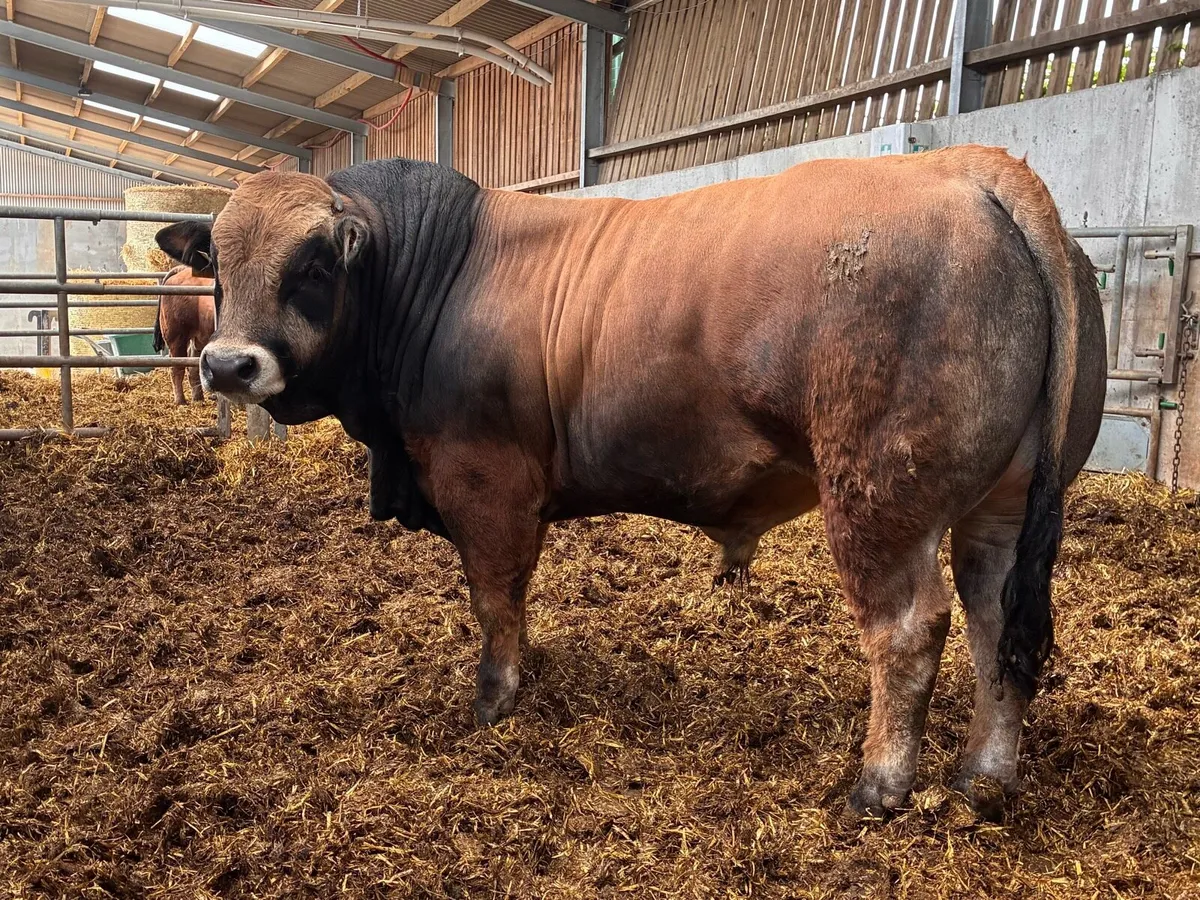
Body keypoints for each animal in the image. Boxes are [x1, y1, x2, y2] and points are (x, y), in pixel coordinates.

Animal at [152, 263, 216, 405]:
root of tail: (181, 270)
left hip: (199, 338)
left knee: (193, 367)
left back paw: (198, 398)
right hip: (176, 337)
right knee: (177, 368)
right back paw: (180, 400)